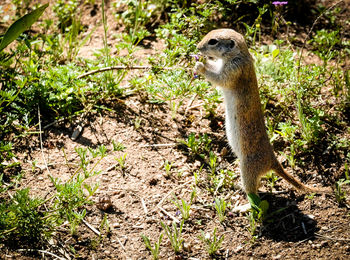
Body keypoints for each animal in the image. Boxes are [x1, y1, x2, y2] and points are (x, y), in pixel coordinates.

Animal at [194, 28, 326, 207]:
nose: (198, 47)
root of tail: (273, 161)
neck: (239, 54)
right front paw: (201, 61)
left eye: (213, 41)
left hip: (247, 168)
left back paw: (242, 207)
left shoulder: (234, 70)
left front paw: (200, 66)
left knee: (254, 194)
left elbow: (220, 79)